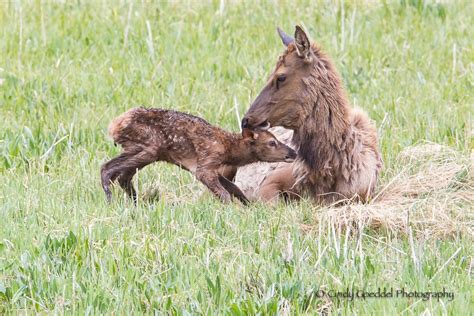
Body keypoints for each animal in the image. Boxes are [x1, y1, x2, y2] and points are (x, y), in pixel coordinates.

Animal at [101, 107, 294, 204]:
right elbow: (224, 194)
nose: (292, 152)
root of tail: (113, 125)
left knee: (123, 177)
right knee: (107, 168)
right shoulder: (205, 165)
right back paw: (111, 201)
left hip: (144, 151)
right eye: (272, 142)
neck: (228, 148)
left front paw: (249, 207)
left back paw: (136, 203)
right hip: (149, 147)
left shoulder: (212, 168)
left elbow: (235, 188)